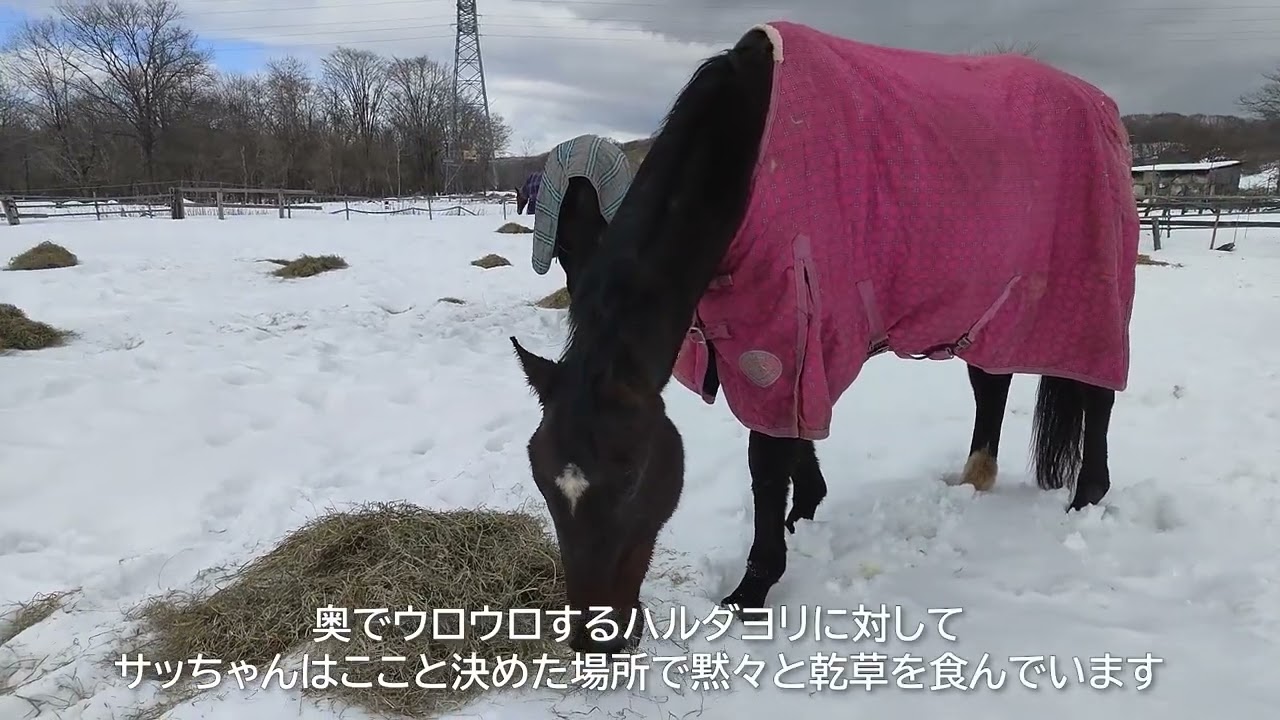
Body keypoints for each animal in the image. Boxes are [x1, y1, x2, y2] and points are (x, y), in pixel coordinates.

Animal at [509, 21, 1140, 655]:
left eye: (633, 475)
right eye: (541, 478)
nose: (595, 639)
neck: (747, 157)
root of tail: (1102, 106)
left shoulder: (784, 332)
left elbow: (768, 463)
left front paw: (753, 588)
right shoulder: (773, 341)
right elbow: (792, 439)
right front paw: (806, 508)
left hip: (1087, 305)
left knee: (1096, 395)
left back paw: (1085, 498)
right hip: (989, 308)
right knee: (993, 384)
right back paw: (974, 480)